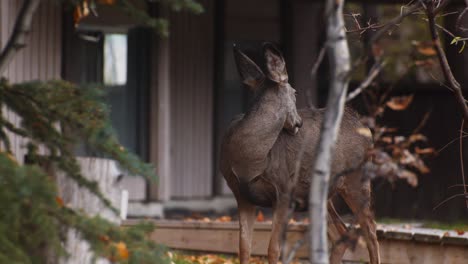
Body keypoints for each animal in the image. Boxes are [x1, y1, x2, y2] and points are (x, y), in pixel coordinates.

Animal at [220, 43, 380, 264]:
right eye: (295, 93)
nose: (298, 122)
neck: (249, 158)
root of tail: (363, 125)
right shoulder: (242, 196)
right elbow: (244, 248)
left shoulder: (284, 191)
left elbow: (273, 249)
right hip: (321, 193)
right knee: (341, 232)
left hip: (357, 179)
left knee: (371, 230)